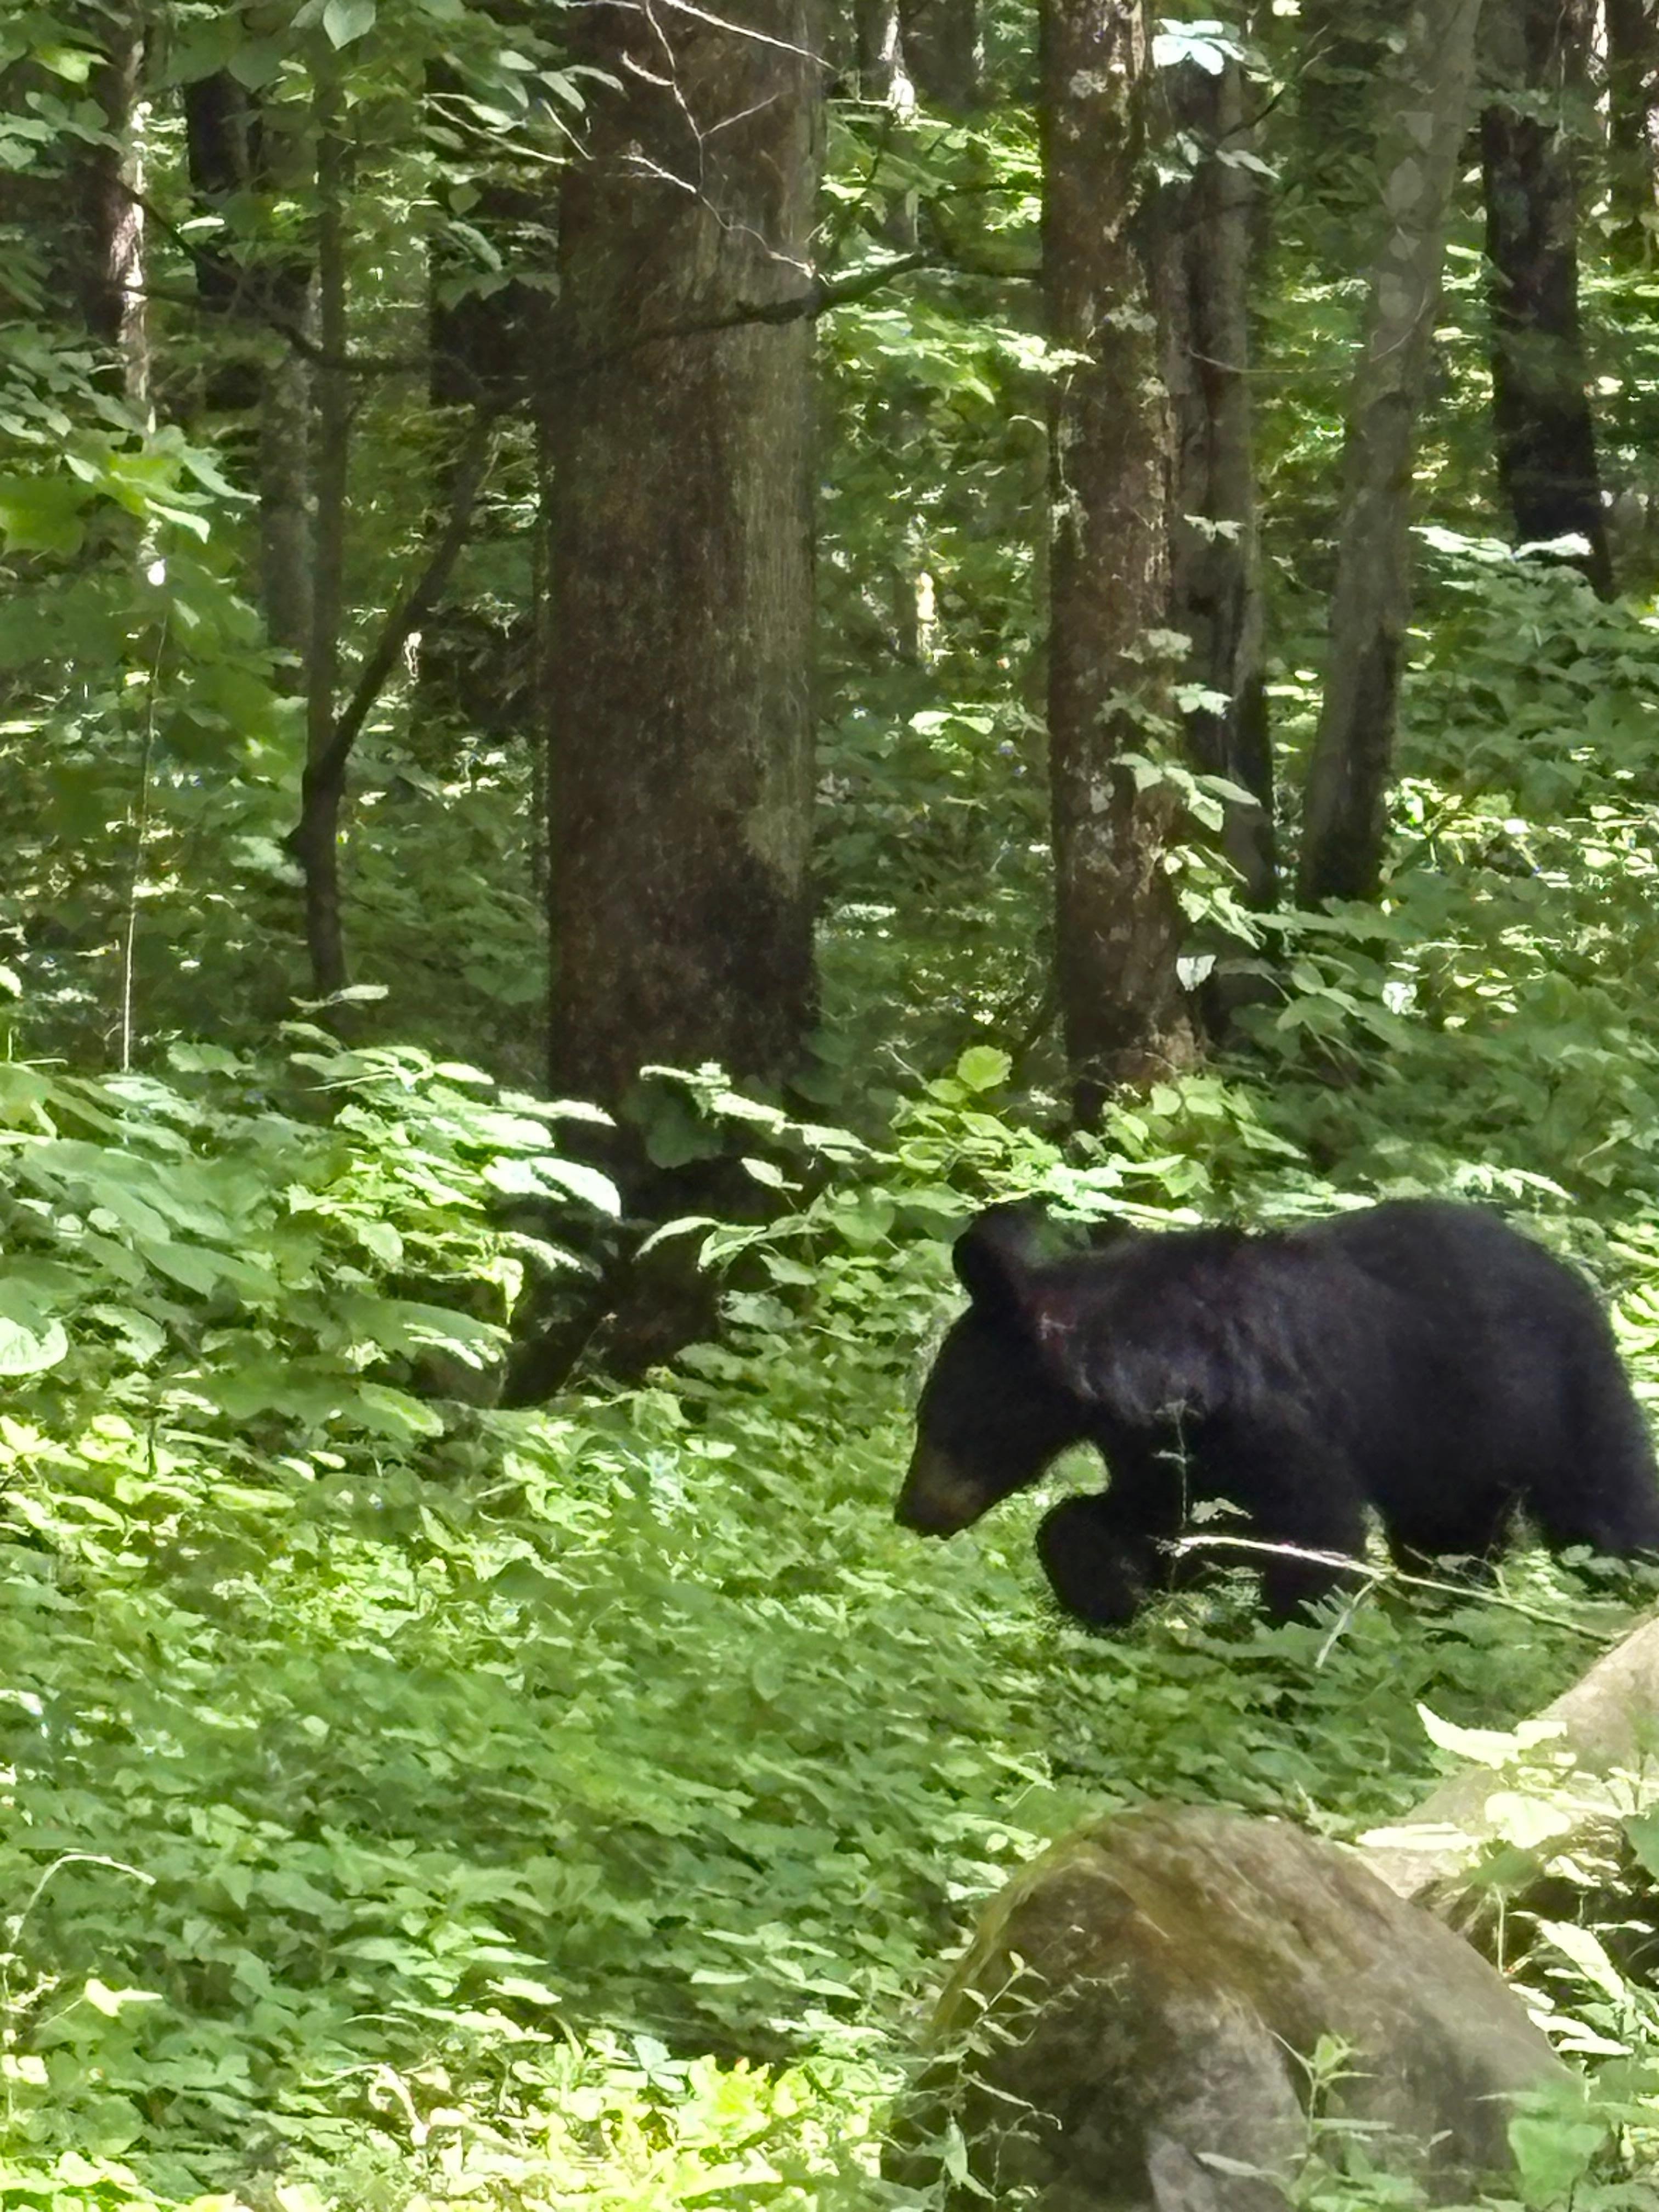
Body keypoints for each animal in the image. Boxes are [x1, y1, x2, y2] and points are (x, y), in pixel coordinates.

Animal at [894, 1198, 1659, 1626]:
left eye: (940, 1417)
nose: (910, 1512)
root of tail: (1571, 1276)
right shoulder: (1163, 1448)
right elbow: (1170, 1522)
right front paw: (1107, 1585)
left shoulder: (1272, 1421)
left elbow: (1310, 1536)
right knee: (1451, 1543)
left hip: (1550, 1395)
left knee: (1607, 1511)